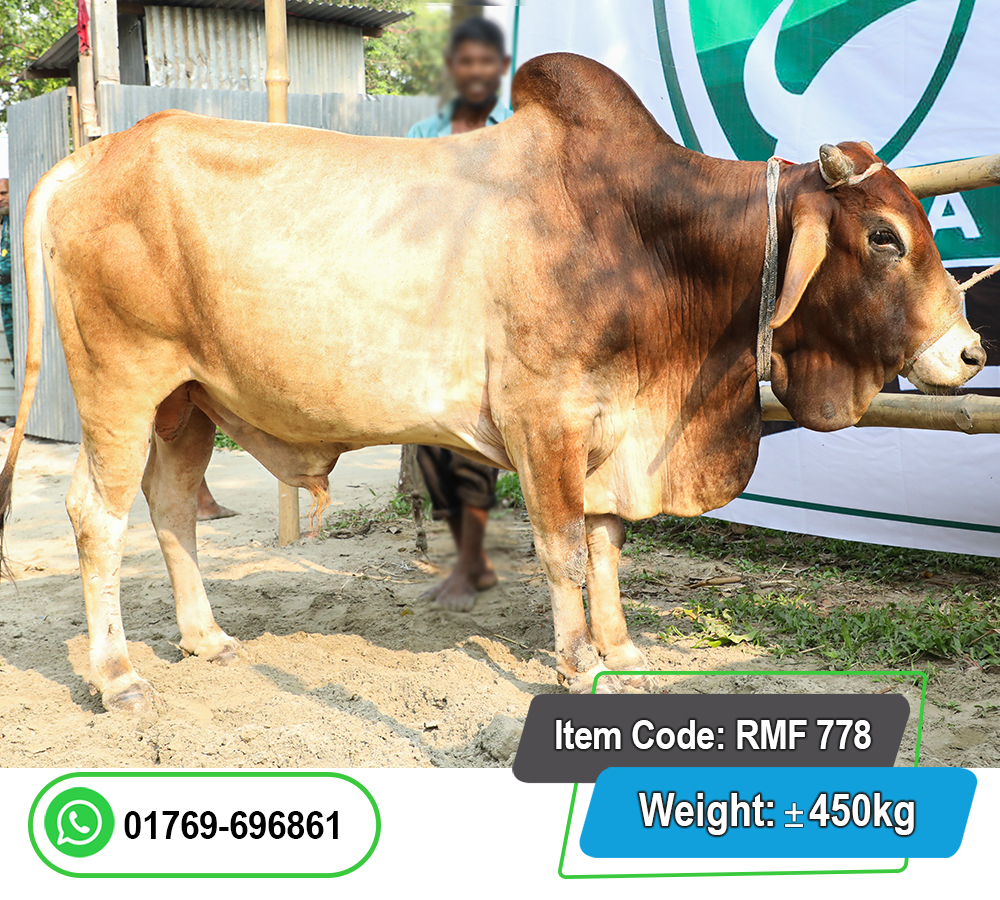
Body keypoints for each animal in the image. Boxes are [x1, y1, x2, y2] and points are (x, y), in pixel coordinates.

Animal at [1, 53, 984, 713]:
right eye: (885, 236)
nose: (972, 351)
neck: (645, 239)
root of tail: (93, 155)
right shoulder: (544, 417)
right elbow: (562, 548)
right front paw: (578, 662)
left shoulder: (609, 429)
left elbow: (607, 543)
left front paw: (621, 647)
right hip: (122, 383)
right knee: (96, 516)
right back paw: (118, 676)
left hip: (185, 401)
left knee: (170, 508)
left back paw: (205, 640)